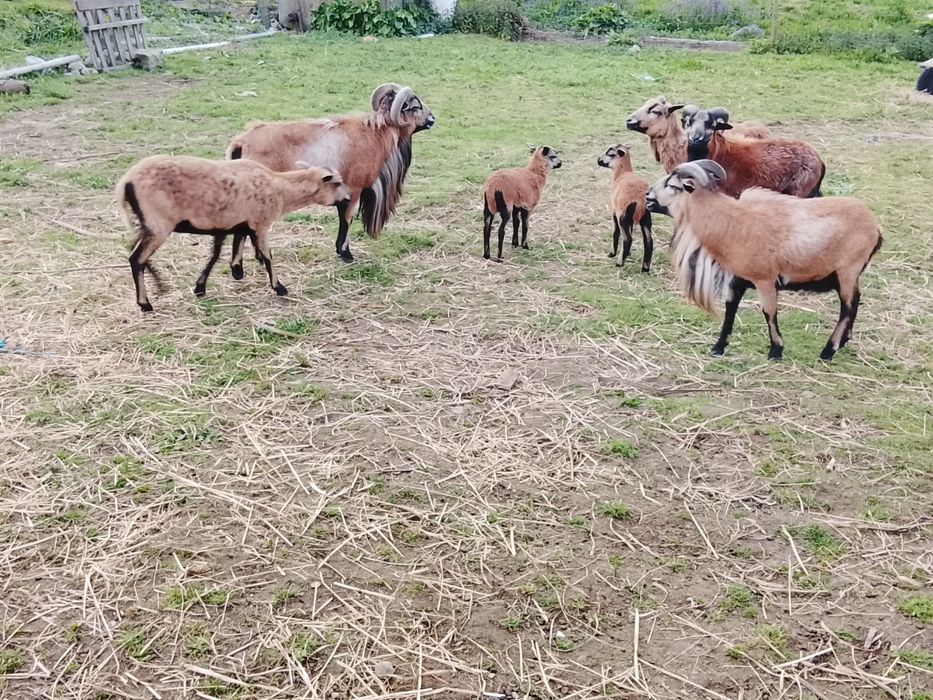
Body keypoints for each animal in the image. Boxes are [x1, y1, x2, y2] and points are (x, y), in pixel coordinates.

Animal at [116, 155, 351, 312]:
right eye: (337, 183)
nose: (348, 198)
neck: (281, 190)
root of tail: (126, 181)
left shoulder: (226, 225)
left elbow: (215, 255)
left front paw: (201, 287)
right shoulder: (260, 223)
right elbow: (267, 256)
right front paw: (279, 287)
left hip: (149, 224)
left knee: (135, 251)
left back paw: (159, 285)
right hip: (159, 224)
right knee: (136, 259)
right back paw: (145, 303)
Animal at [226, 83, 434, 269]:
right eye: (415, 106)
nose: (432, 119)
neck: (375, 133)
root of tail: (240, 144)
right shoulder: (354, 189)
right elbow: (347, 219)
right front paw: (346, 254)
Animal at [645, 160, 882, 361]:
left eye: (672, 185)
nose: (647, 196)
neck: (730, 223)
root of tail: (875, 228)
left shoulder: (765, 280)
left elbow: (769, 312)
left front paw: (776, 351)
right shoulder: (737, 280)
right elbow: (730, 310)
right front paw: (718, 347)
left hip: (847, 271)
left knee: (848, 308)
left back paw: (828, 350)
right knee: (854, 303)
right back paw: (842, 342)